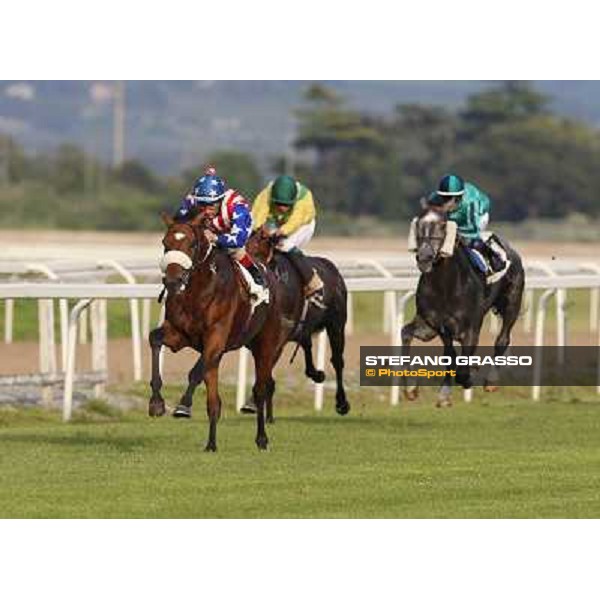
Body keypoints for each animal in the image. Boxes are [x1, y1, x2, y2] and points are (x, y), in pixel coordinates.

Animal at [149, 212, 292, 450]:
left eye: (192, 244)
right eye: (164, 243)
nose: (173, 280)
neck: (197, 293)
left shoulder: (215, 339)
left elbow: (201, 377)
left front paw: (184, 407)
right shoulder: (179, 335)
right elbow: (155, 340)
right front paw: (156, 403)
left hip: (265, 344)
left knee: (260, 390)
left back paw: (262, 438)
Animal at [246, 225, 352, 418]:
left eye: (257, 251)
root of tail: (333, 268)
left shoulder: (278, 335)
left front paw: (252, 403)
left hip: (336, 324)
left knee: (337, 360)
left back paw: (342, 403)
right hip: (306, 327)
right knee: (307, 345)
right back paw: (317, 374)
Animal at [404, 206, 524, 404]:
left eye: (443, 225)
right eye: (419, 224)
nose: (424, 257)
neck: (445, 285)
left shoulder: (470, 328)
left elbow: (462, 365)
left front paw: (468, 377)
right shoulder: (434, 324)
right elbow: (444, 353)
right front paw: (415, 390)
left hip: (512, 303)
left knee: (502, 339)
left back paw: (491, 381)